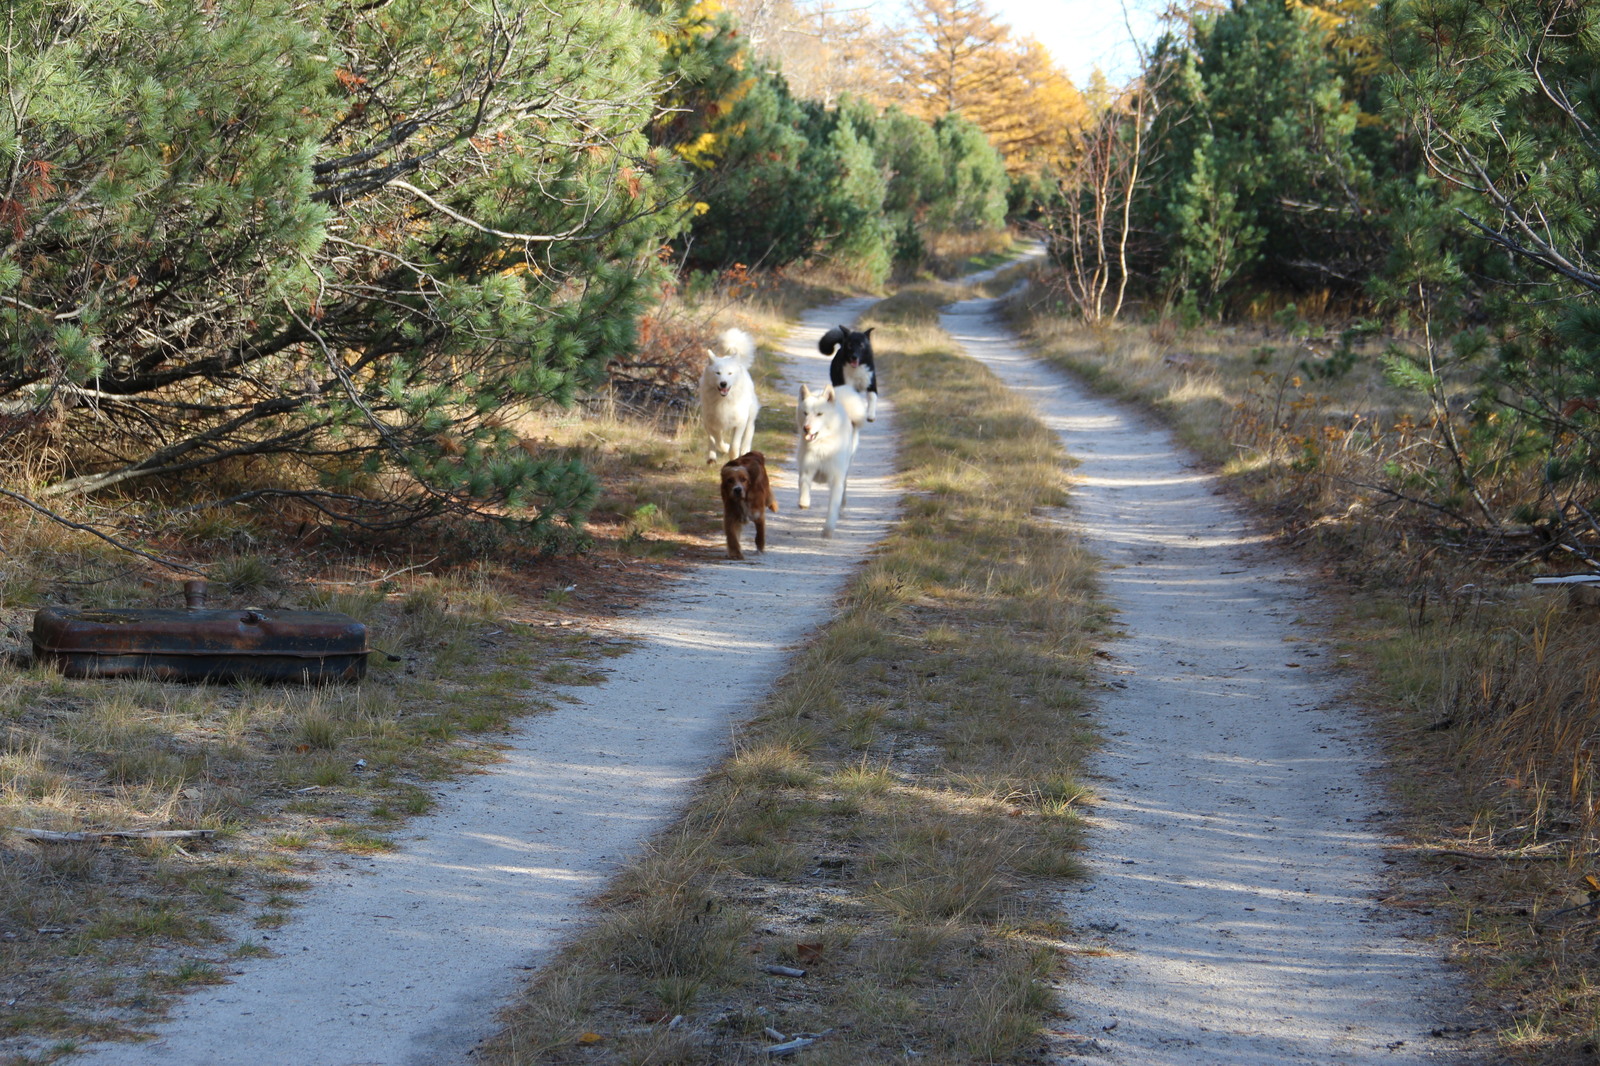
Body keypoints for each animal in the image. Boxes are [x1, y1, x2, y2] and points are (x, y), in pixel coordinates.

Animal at [697, 326, 758, 464]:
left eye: (730, 373)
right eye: (718, 373)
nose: (723, 383)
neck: (724, 401)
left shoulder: (739, 423)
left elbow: (734, 446)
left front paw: (734, 457)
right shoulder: (711, 422)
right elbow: (717, 440)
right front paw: (723, 448)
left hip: (750, 413)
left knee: (750, 429)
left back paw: (745, 449)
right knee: (712, 441)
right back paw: (711, 458)